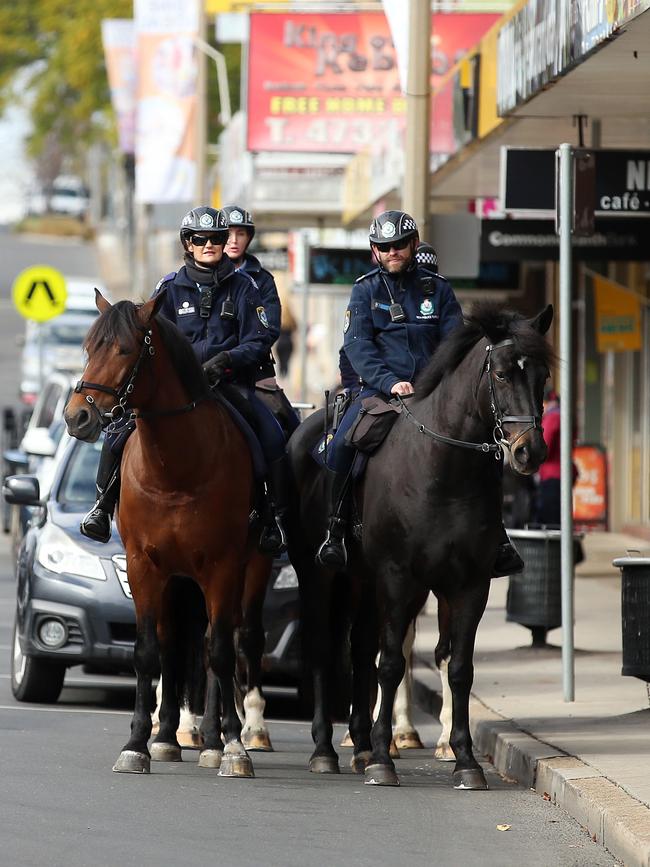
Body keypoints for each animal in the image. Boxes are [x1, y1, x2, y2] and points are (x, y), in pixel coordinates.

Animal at [64, 290, 270, 772]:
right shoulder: (145, 565)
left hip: (250, 568)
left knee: (231, 640)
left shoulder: (222, 566)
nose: (77, 417)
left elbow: (219, 652)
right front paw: (138, 743)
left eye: (124, 350)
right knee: (180, 644)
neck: (175, 469)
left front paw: (231, 747)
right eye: (88, 348)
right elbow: (149, 652)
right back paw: (173, 735)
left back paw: (226, 736)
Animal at [286, 302, 548, 792]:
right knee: (325, 649)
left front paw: (465, 760)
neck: (444, 470)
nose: (530, 452)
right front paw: (383, 762)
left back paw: (360, 745)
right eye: (502, 374)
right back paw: (326, 750)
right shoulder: (399, 578)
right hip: (322, 576)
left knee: (358, 648)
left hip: (362, 583)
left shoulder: (469, 585)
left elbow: (459, 667)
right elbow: (391, 664)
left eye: (543, 375)